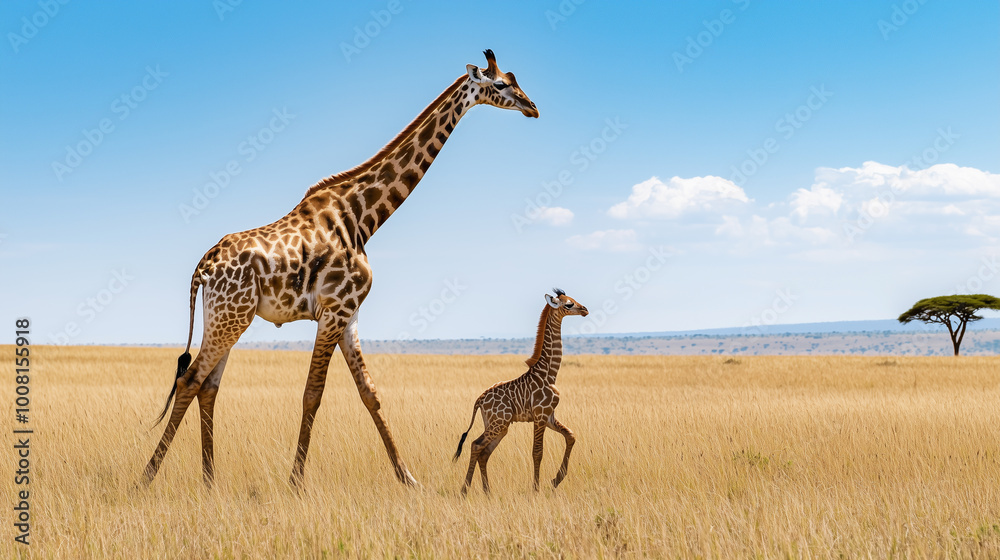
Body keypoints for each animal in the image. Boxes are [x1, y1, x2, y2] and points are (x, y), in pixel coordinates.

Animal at [142, 50, 538, 489]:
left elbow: (370, 394)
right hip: (231, 317)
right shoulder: (334, 311)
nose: (532, 107)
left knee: (208, 386)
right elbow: (313, 393)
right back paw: (147, 477)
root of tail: (202, 268)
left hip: (226, 317)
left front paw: (408, 479)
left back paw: (211, 481)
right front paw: (296, 483)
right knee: (191, 380)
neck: (363, 217)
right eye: (500, 84)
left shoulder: (350, 316)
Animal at [454, 289, 588, 495]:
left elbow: (571, 436)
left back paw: (487, 492)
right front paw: (536, 489)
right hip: (499, 423)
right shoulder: (540, 416)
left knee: (484, 452)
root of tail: (479, 400)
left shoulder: (549, 416)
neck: (549, 374)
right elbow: (537, 452)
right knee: (476, 445)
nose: (585, 310)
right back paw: (464, 491)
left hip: (499, 425)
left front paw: (556, 480)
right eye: (568, 304)